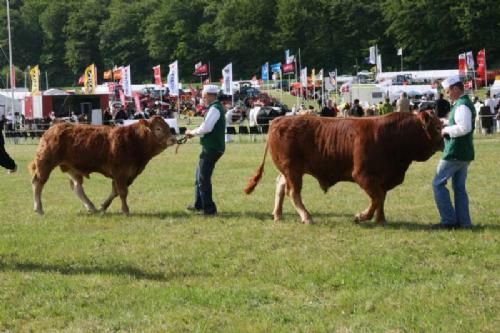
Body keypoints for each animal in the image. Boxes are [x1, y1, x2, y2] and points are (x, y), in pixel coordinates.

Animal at [28, 115, 178, 214]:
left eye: (168, 127)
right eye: (158, 129)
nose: (173, 139)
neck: (134, 140)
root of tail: (53, 128)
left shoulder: (129, 174)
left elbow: (115, 191)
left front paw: (102, 206)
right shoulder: (120, 172)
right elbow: (122, 192)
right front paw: (125, 210)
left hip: (72, 167)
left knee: (77, 187)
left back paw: (91, 207)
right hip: (45, 162)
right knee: (38, 182)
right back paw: (38, 208)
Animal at [244, 111, 444, 223]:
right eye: (436, 127)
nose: (445, 139)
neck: (392, 135)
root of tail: (278, 120)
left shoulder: (382, 179)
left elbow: (381, 198)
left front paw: (381, 219)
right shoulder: (363, 175)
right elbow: (377, 197)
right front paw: (362, 216)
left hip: (290, 171)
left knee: (280, 185)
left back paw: (278, 215)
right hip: (292, 170)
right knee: (293, 192)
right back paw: (306, 217)